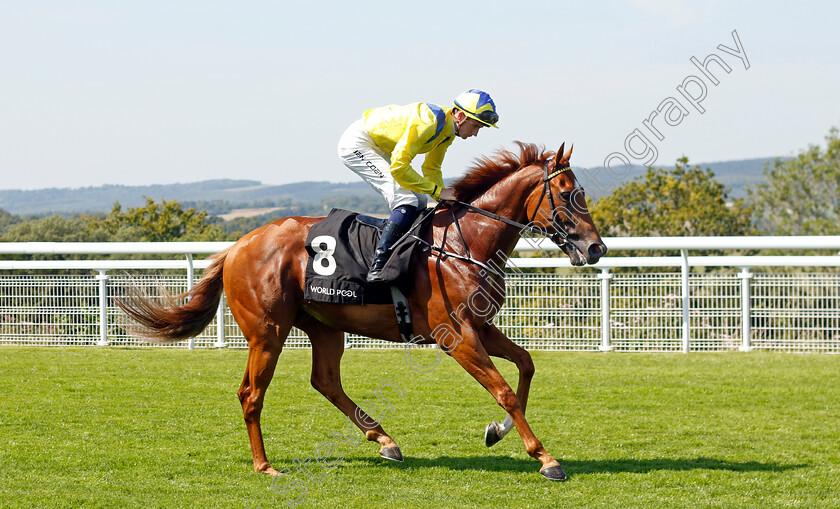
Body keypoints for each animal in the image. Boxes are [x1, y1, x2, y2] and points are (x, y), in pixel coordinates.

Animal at [116, 140, 604, 480]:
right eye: (567, 193)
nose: (595, 248)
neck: (465, 244)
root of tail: (237, 245)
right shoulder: (455, 335)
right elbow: (504, 389)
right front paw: (546, 459)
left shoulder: (479, 328)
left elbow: (525, 366)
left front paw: (496, 431)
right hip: (268, 330)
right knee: (251, 394)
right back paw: (265, 465)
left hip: (324, 326)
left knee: (325, 381)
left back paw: (384, 440)